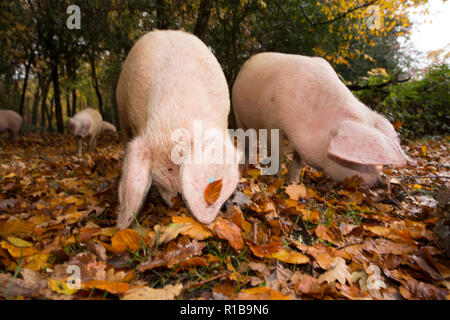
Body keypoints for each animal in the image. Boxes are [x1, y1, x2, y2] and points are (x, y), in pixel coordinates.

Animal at [232, 52, 412, 186]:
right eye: (354, 161)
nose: (381, 182)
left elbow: (298, 160)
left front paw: (292, 183)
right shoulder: (272, 123)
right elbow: (278, 152)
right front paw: (275, 179)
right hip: (237, 111)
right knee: (246, 140)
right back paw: (245, 167)